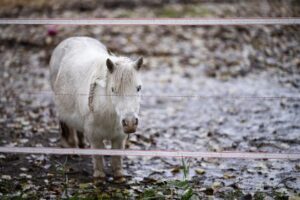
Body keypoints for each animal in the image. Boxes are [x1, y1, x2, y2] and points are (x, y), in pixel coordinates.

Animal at [49, 36, 143, 180]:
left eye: (138, 88)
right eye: (113, 89)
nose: (130, 123)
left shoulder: (119, 137)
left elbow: (117, 158)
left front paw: (119, 175)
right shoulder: (94, 136)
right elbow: (98, 156)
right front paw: (99, 176)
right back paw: (72, 147)